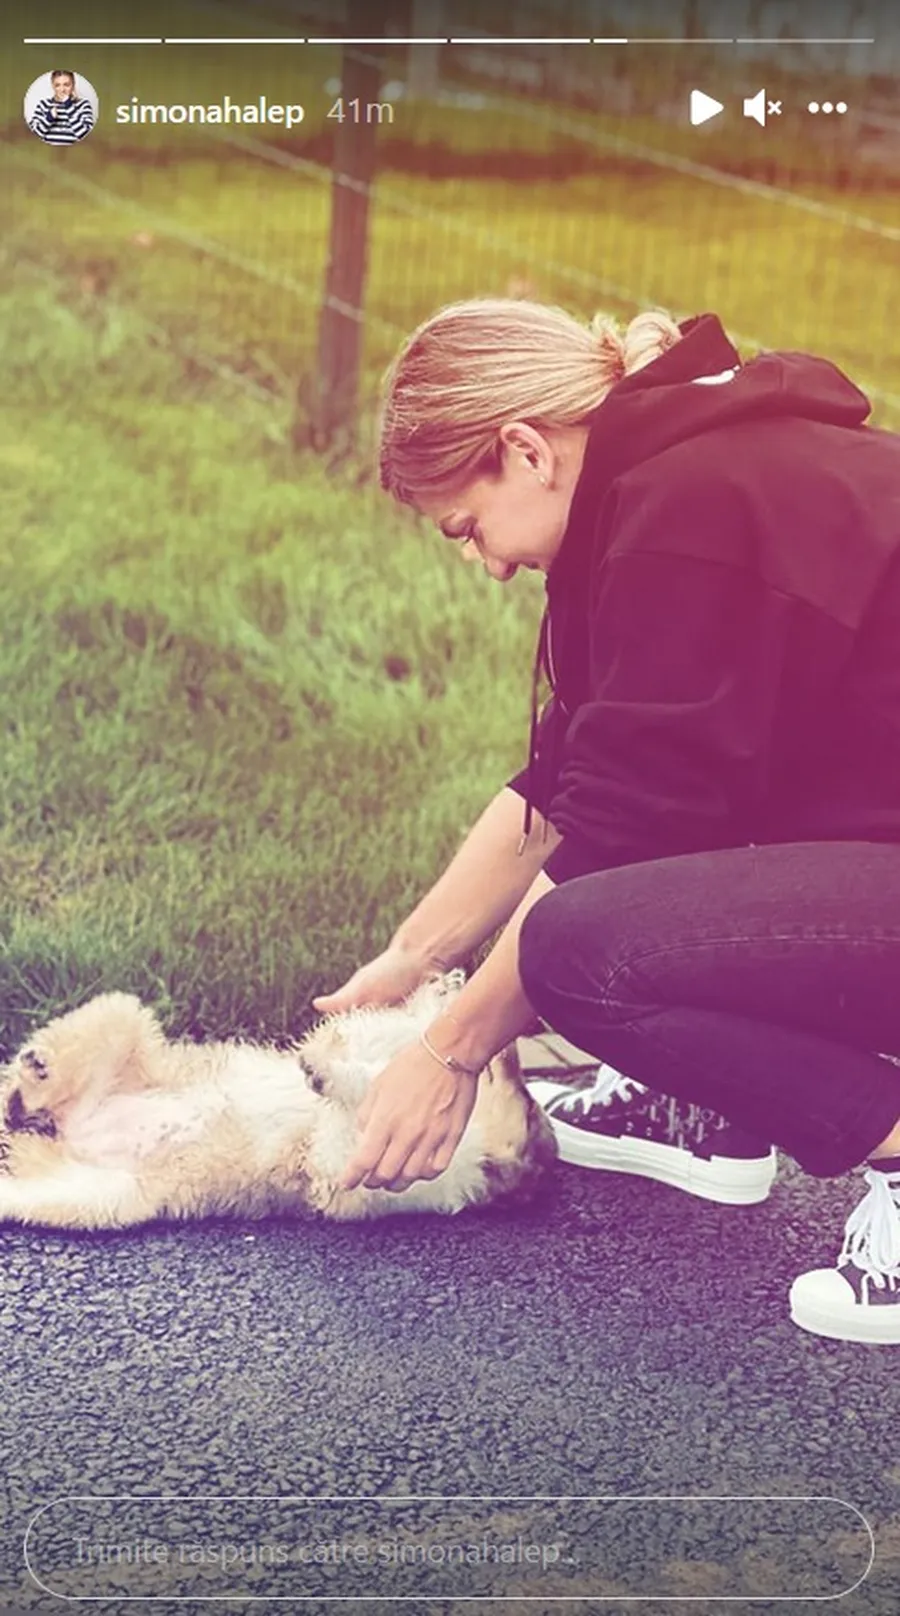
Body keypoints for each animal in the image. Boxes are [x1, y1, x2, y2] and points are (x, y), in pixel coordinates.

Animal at [0, 975, 557, 1230]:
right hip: (122, 1016)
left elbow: (355, 1101)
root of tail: (61, 1131)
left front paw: (330, 1073)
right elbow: (387, 1032)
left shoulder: (346, 1171)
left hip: (99, 1198)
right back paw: (30, 1080)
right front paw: (440, 993)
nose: (507, 1045)